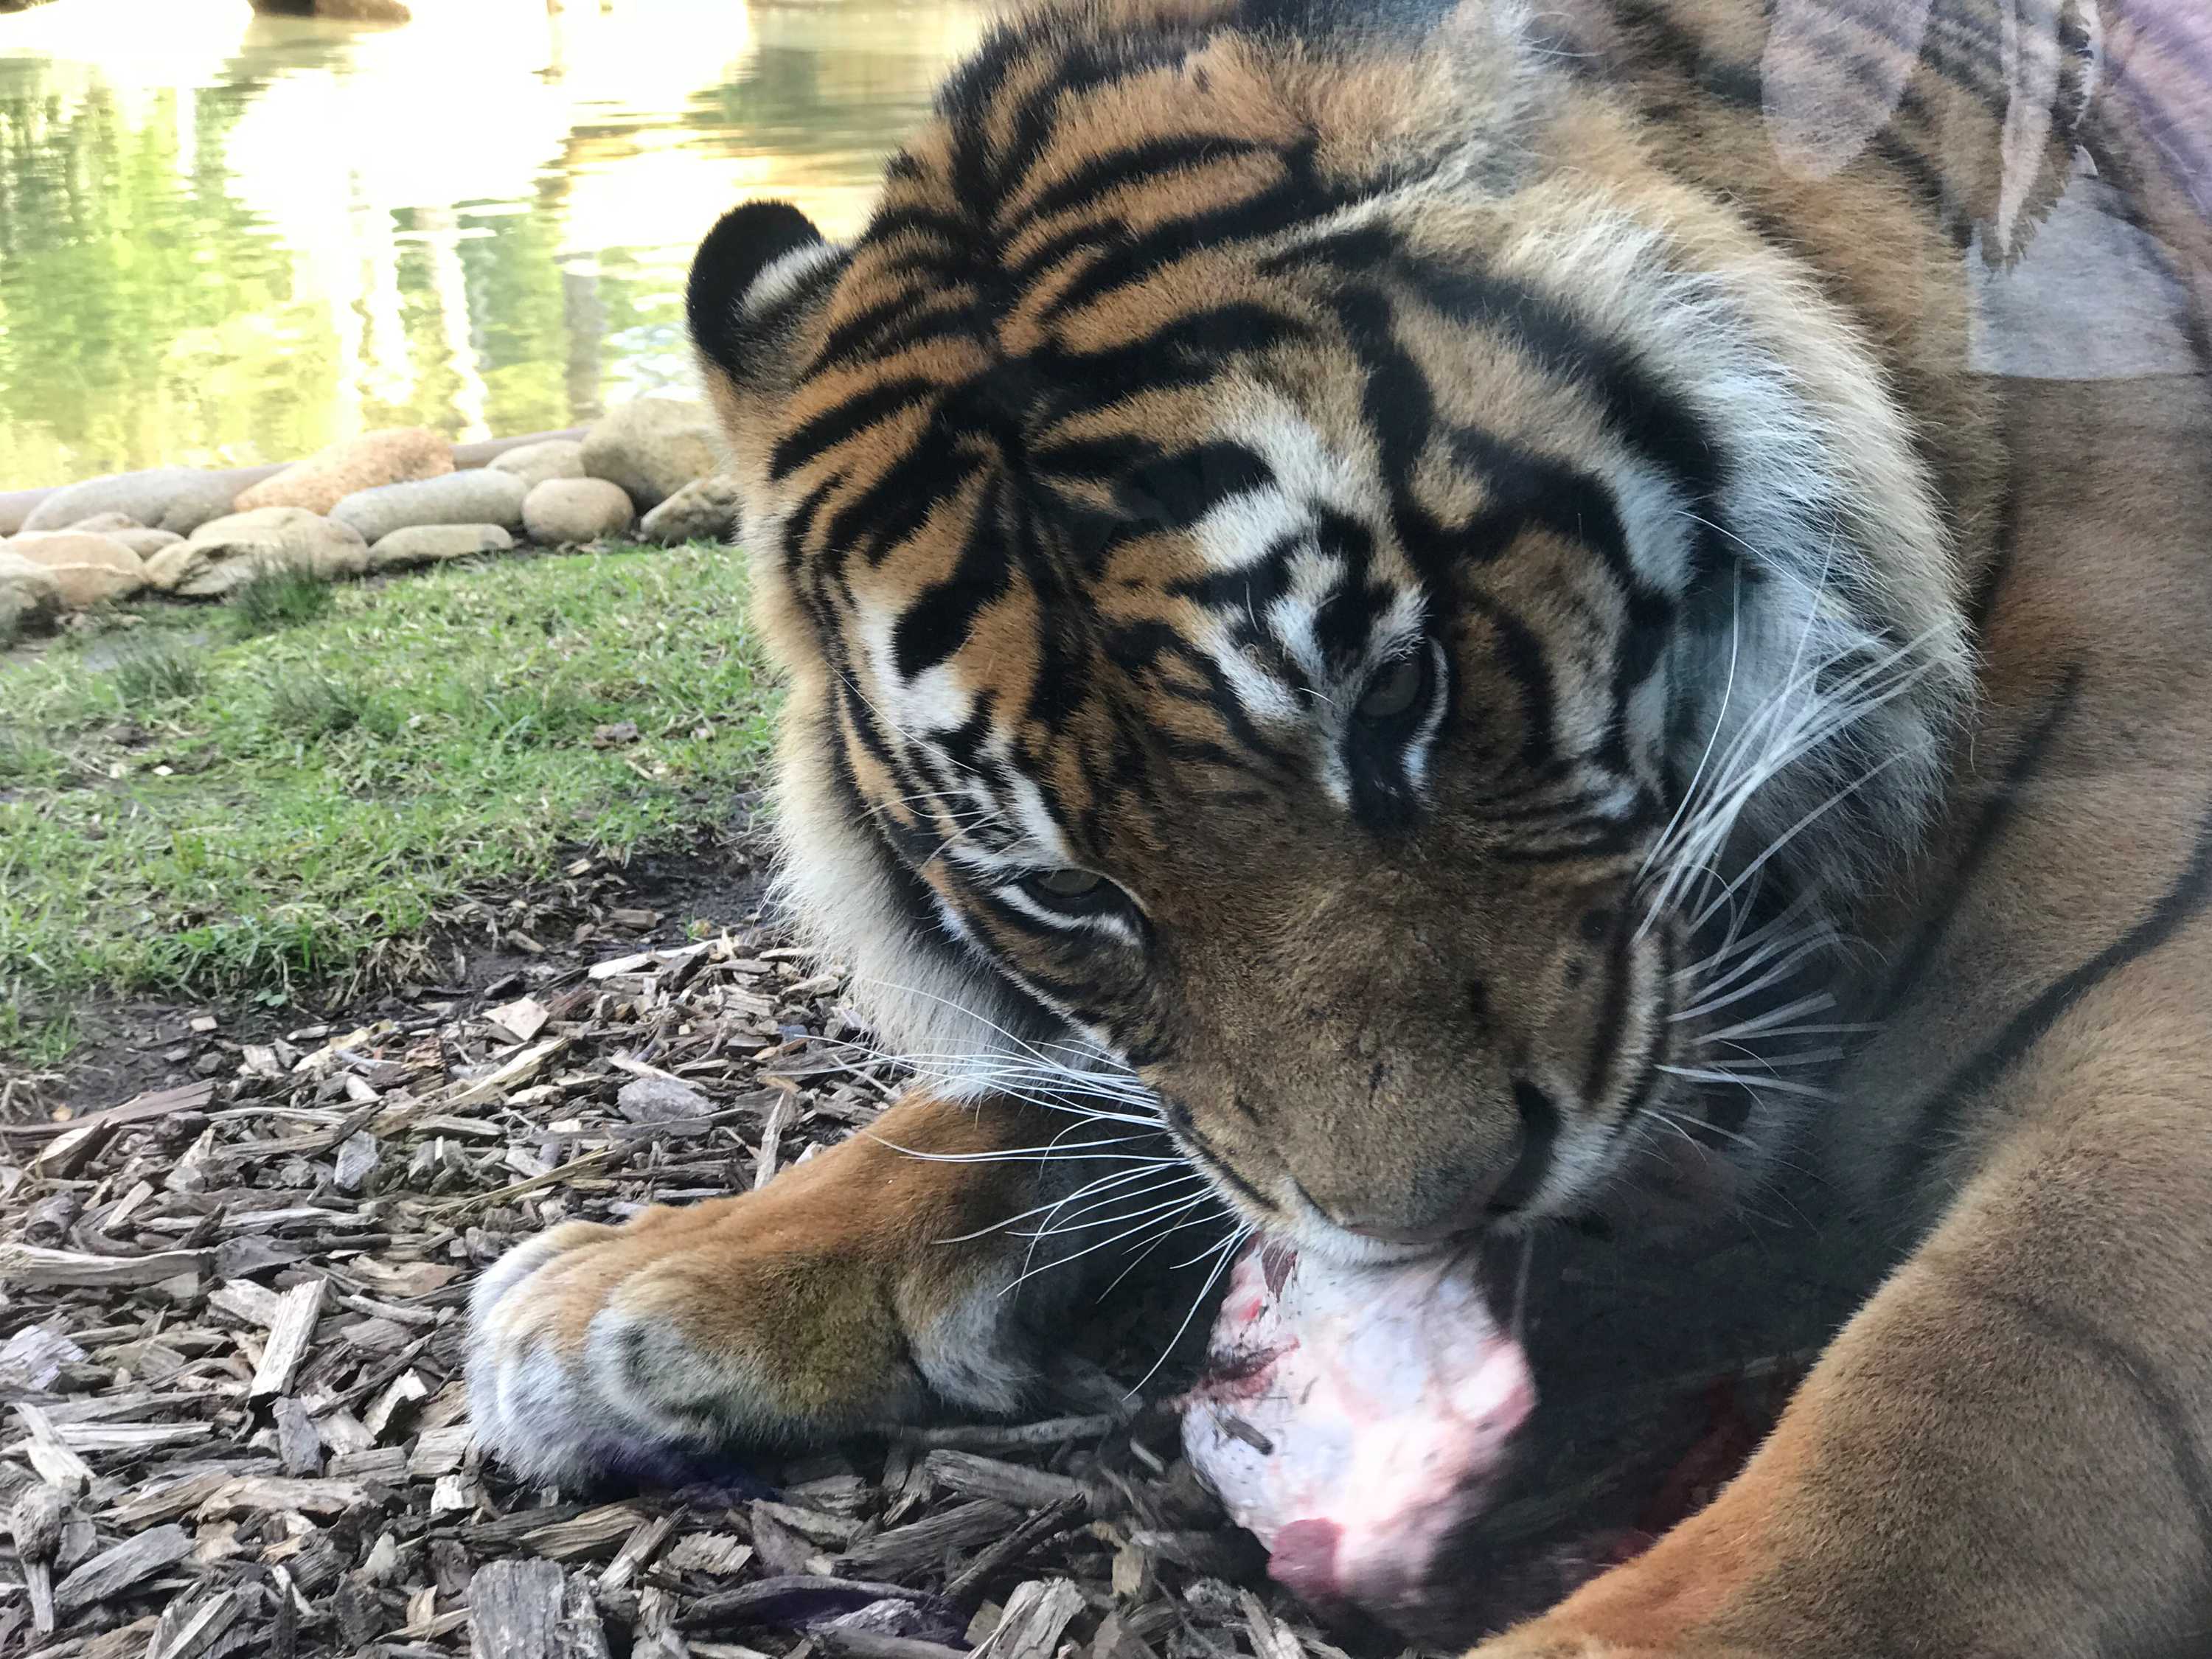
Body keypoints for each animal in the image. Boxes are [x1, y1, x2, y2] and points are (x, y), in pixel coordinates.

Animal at [466, 0, 2212, 1651]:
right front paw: (626, 1296)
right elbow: (1030, 1107)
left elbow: (1957, 1417)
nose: (1433, 1216)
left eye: (1395, 697)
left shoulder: (2157, 1045)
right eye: (1062, 895)